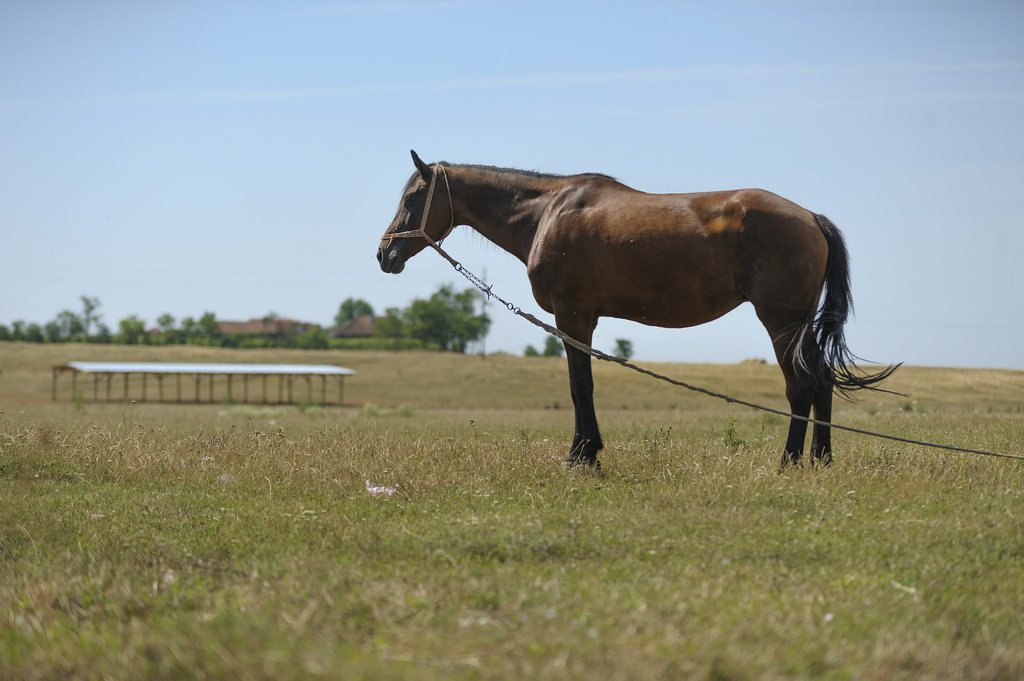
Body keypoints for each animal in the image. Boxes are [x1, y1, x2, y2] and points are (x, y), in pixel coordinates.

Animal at [378, 150, 897, 466]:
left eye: (413, 197)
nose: (385, 254)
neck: (548, 213)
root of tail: (810, 217)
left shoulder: (571, 316)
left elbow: (579, 386)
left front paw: (582, 454)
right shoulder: (582, 319)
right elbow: (582, 386)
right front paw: (586, 450)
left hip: (781, 321)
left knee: (801, 386)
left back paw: (789, 462)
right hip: (799, 323)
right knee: (821, 381)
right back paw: (820, 460)